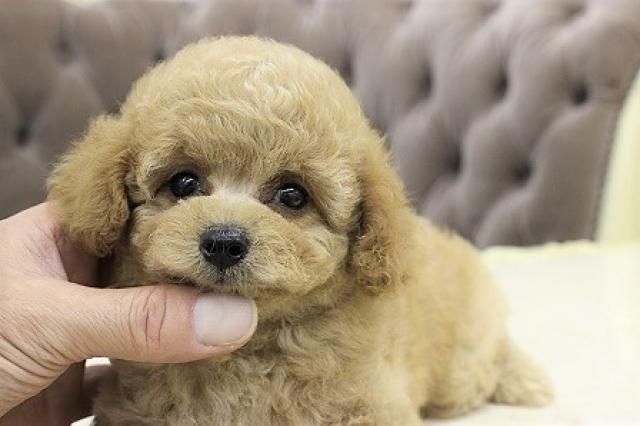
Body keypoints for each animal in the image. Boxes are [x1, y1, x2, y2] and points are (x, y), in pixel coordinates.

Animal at [48, 37, 552, 425]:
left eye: (293, 196)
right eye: (184, 183)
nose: (224, 243)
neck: (250, 347)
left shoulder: (368, 404)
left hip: (461, 363)